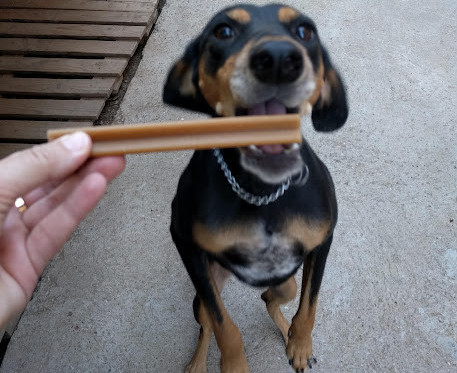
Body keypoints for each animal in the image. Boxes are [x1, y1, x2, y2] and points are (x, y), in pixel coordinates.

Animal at [162, 3, 348, 372]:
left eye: (305, 31)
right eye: (223, 31)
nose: (277, 58)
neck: (261, 190)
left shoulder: (321, 243)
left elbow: (309, 308)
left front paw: (300, 345)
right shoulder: (184, 242)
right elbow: (224, 326)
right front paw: (234, 364)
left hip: (287, 281)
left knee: (271, 298)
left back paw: (286, 333)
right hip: (202, 291)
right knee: (207, 324)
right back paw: (197, 364)